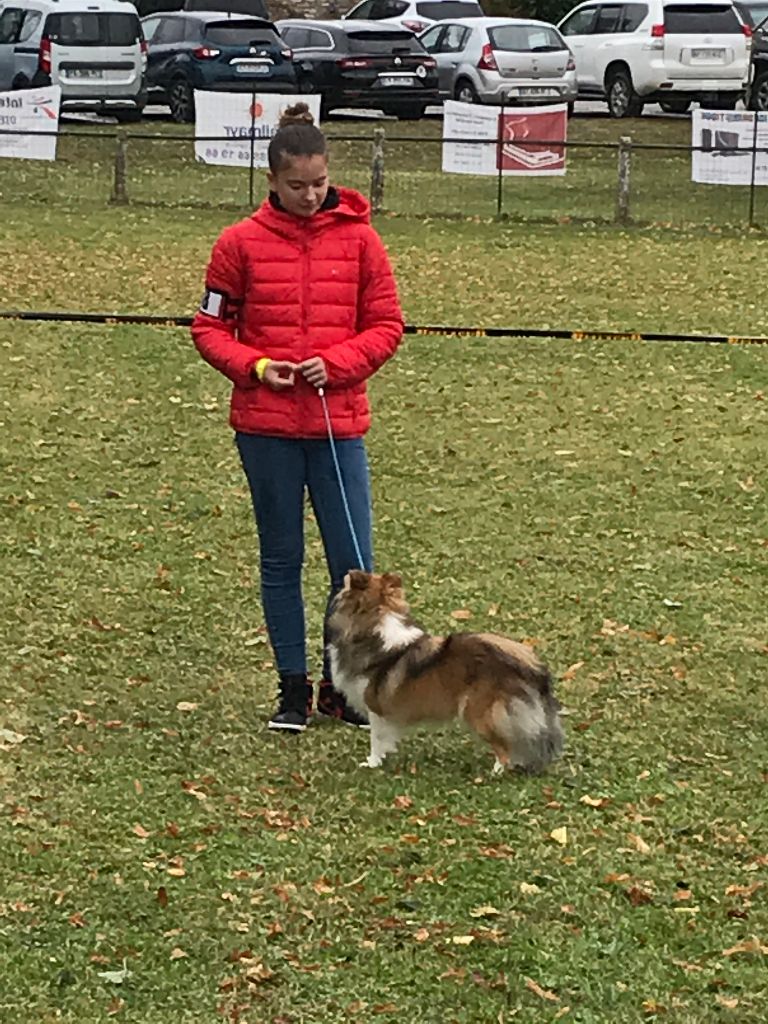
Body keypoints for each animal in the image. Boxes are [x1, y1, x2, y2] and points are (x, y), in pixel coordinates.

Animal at [325, 569, 565, 774]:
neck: (374, 622)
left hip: (478, 712)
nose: (348, 572)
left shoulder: (375, 707)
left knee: (503, 747)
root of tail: (527, 663)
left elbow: (376, 738)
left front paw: (372, 763)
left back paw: (496, 772)